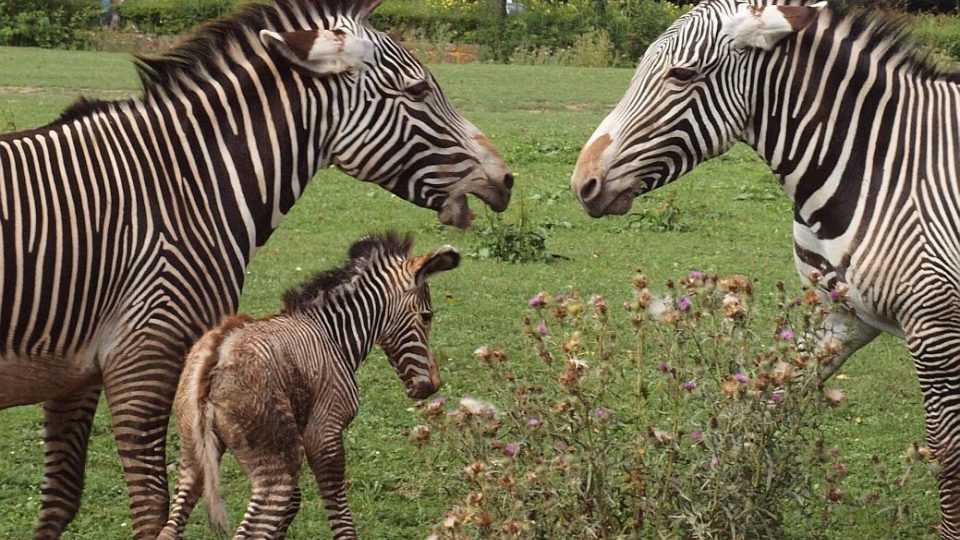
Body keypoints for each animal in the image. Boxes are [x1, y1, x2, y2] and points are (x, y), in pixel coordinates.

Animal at [159, 233, 460, 540]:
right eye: (427, 316)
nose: (432, 386)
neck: (334, 336)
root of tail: (217, 353)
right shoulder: (325, 433)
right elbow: (340, 513)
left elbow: (294, 505)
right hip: (278, 466)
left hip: (193, 456)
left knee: (171, 525)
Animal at [568, 0, 960, 536]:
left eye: (682, 74)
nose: (581, 183)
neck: (884, 167)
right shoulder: (841, 316)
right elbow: (768, 401)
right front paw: (727, 500)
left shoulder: (934, 326)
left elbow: (946, 454)